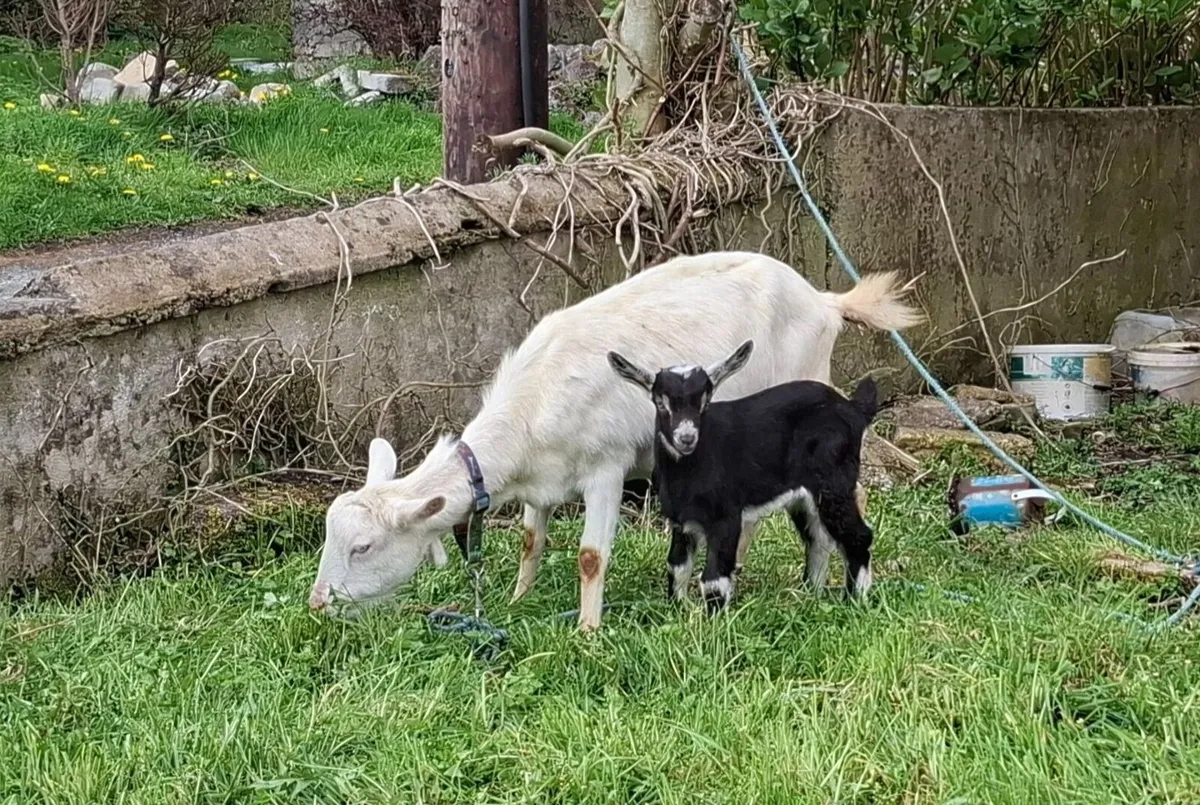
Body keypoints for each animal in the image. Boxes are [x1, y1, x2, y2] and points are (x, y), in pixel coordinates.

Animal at [608, 340, 879, 612]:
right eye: (660, 402)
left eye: (705, 401)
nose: (686, 438)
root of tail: (853, 409)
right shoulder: (681, 522)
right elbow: (677, 567)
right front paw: (678, 609)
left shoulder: (726, 517)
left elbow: (714, 580)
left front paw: (714, 620)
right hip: (804, 497)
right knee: (818, 539)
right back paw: (809, 595)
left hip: (834, 482)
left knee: (858, 536)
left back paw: (854, 600)